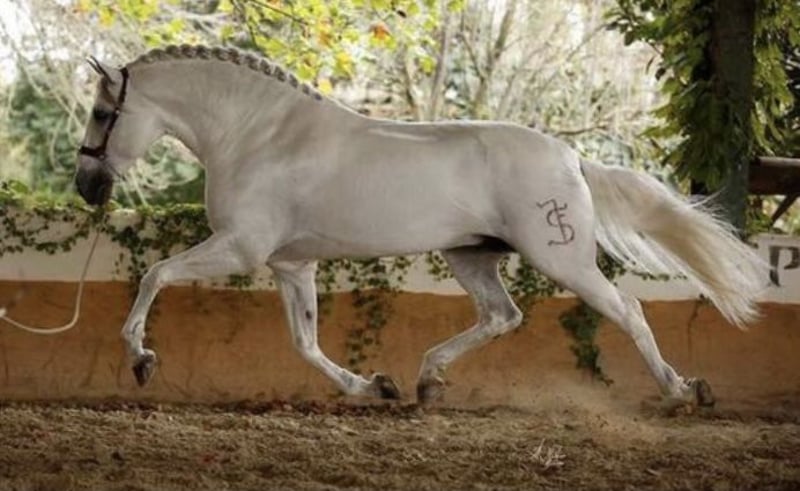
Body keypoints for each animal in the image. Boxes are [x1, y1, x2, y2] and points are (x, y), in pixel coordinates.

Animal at [76, 45, 767, 407]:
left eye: (104, 114)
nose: (85, 186)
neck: (258, 134)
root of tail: (571, 156)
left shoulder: (241, 249)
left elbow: (155, 275)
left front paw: (141, 359)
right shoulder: (291, 264)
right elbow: (305, 342)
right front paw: (369, 387)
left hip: (561, 258)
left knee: (628, 310)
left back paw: (682, 390)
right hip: (472, 256)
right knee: (502, 316)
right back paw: (428, 379)